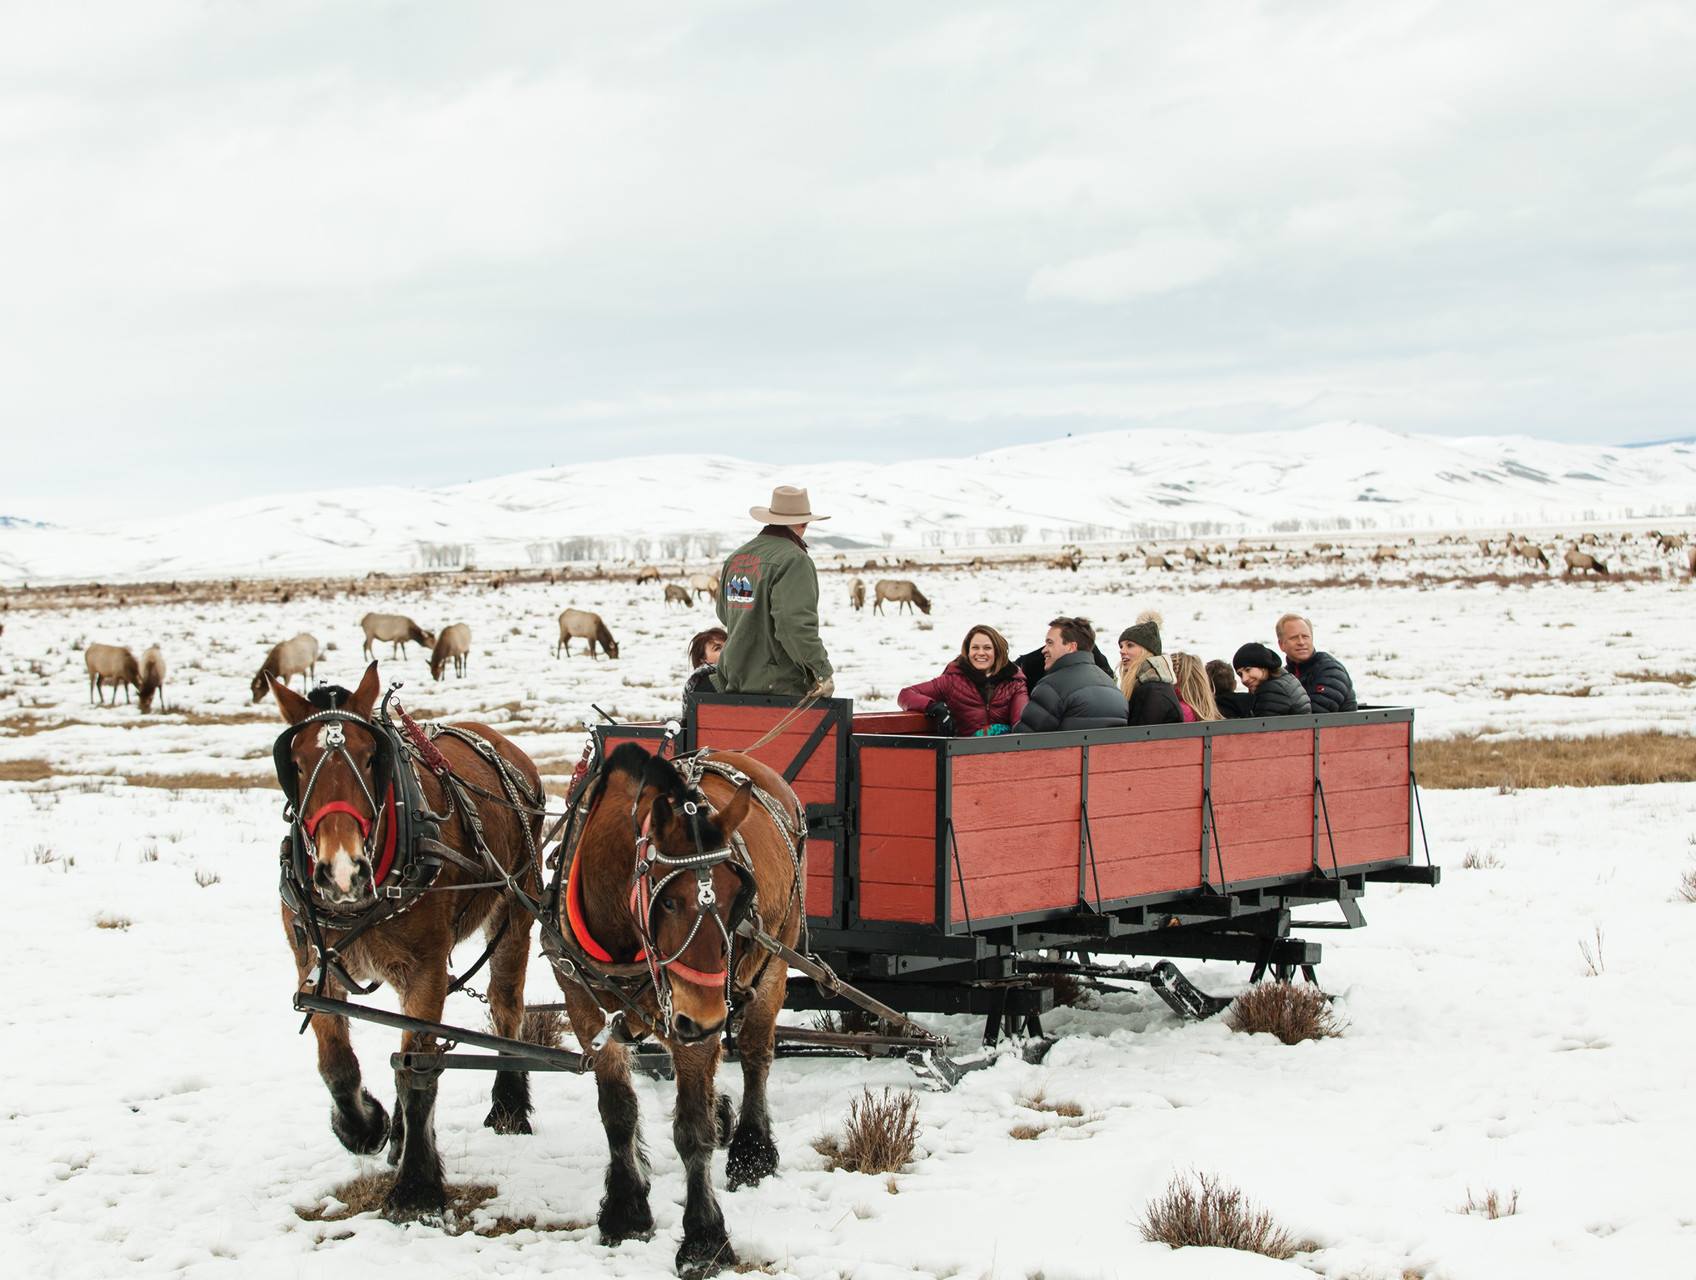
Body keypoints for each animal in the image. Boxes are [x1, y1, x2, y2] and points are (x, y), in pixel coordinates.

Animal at [269, 661, 542, 1220]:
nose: (341, 869)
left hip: (514, 912)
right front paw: (365, 1127)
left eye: (370, 756)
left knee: (506, 1005)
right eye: (297, 763)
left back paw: (508, 1105)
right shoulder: (315, 964)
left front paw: (416, 1187)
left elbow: (418, 1071)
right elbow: (338, 1065)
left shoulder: (426, 970)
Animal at [549, 742, 800, 1280]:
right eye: (668, 902)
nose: (708, 1019)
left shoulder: (692, 1024)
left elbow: (692, 1130)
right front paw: (625, 1211)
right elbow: (617, 1112)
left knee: (756, 1056)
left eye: (737, 897)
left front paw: (703, 1237)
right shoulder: (583, 1008)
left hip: (773, 962)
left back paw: (751, 1150)